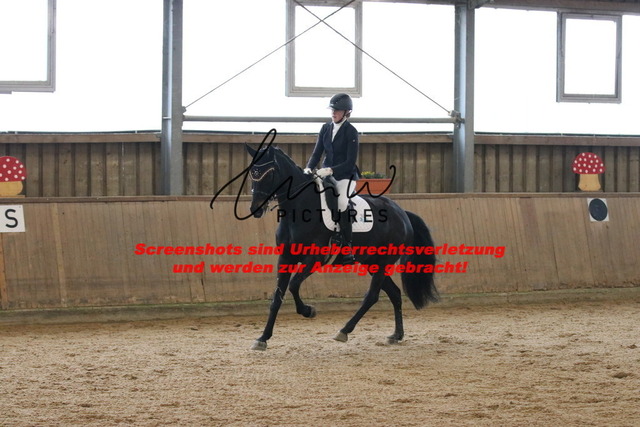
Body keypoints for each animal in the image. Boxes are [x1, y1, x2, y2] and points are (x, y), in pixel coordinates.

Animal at [244, 140, 439, 351]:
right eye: (252, 173)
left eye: (269, 173)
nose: (255, 209)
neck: (298, 210)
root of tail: (402, 213)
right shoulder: (286, 258)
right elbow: (277, 297)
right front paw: (262, 338)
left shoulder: (315, 258)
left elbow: (294, 285)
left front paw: (308, 310)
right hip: (372, 262)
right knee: (394, 293)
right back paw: (396, 335)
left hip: (383, 262)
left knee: (372, 296)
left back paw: (344, 331)